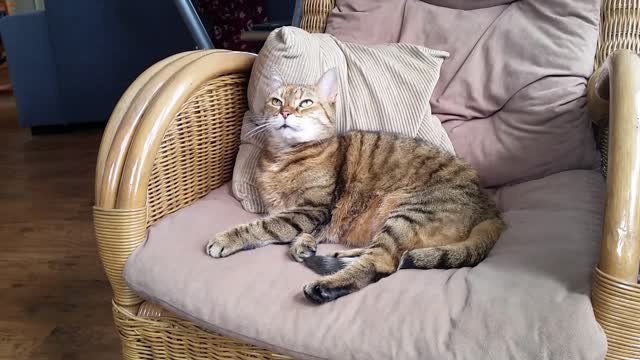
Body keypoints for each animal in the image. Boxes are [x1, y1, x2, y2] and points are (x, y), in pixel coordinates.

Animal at [205, 68, 504, 304]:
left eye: (306, 102)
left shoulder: (309, 210)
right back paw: (342, 255)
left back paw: (325, 287)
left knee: (383, 263)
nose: (285, 112)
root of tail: (493, 209)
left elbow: (261, 227)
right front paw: (304, 243)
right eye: (276, 101)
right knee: (392, 255)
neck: (283, 156)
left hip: (407, 214)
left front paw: (226, 238)